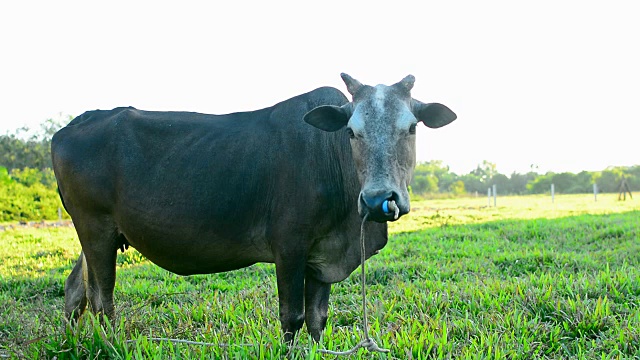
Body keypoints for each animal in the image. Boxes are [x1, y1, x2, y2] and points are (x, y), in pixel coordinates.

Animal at [53, 73, 456, 340]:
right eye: (351, 131)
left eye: (411, 128)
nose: (377, 200)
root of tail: (76, 122)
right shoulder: (289, 247)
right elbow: (292, 318)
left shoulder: (322, 255)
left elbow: (318, 319)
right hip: (95, 228)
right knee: (101, 300)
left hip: (97, 235)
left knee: (75, 291)